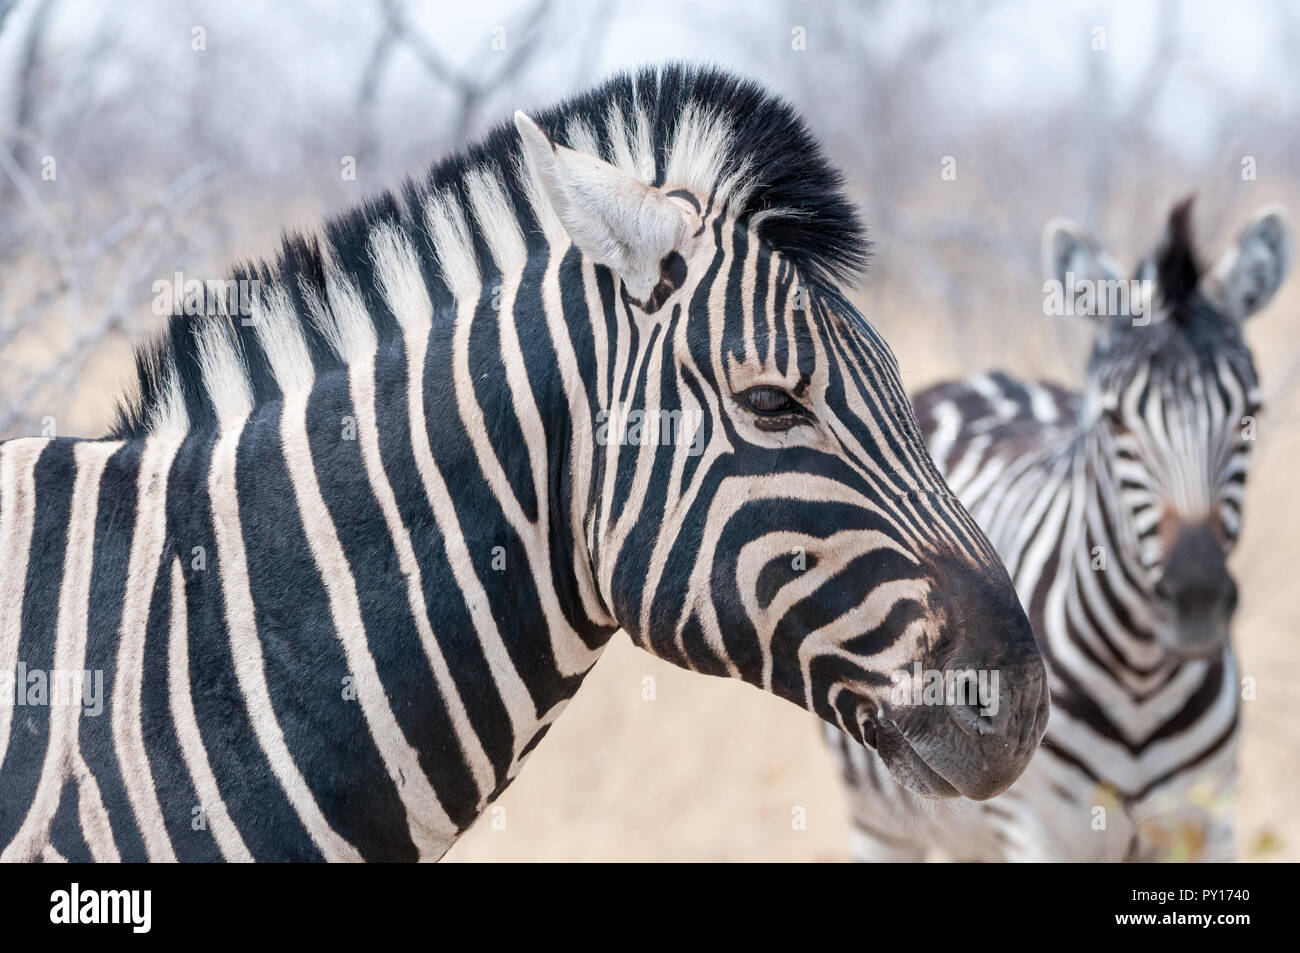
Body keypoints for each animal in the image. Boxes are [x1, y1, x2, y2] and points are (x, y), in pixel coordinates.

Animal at [826, 199, 1291, 862]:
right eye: (1115, 420)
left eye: (1251, 414)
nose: (1196, 600)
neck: (1140, 679)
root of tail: (983, 376)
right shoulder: (1034, 829)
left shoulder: (1205, 823)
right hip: (884, 818)